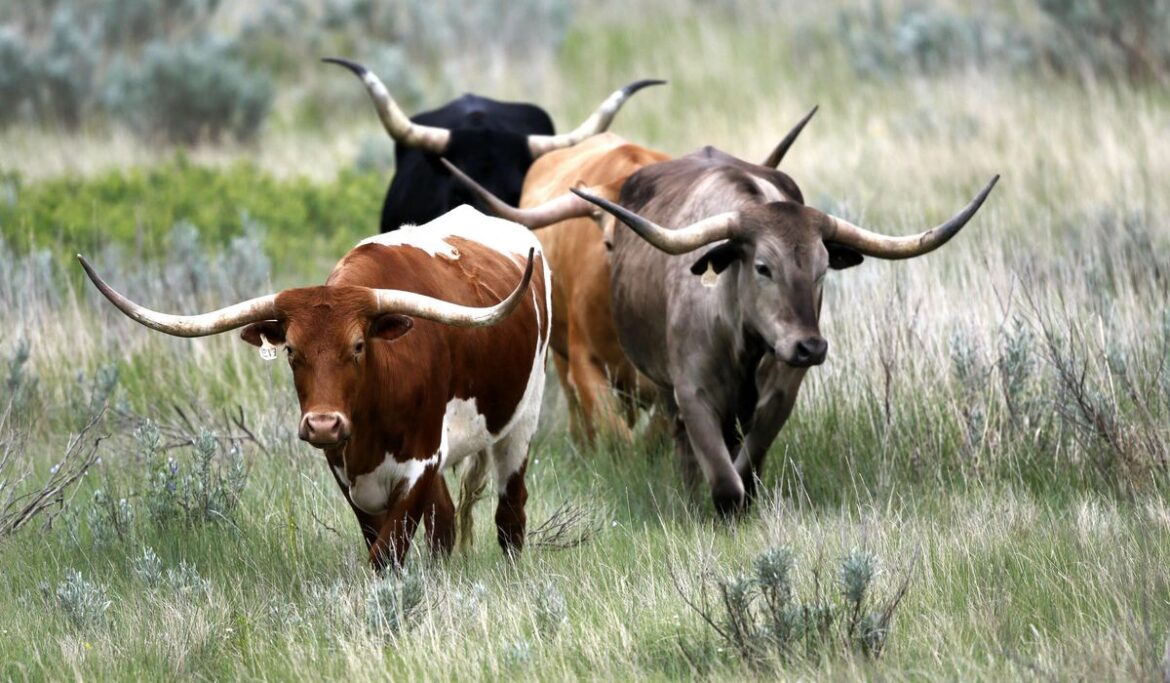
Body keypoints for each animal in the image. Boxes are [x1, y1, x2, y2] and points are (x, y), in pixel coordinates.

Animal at [78, 205, 552, 570]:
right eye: (290, 350)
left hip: (522, 422)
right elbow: (384, 547)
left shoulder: (420, 463)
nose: (324, 425)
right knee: (447, 521)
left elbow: (387, 553)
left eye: (358, 346)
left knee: (510, 513)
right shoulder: (348, 473)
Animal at [563, 149, 997, 515]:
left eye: (822, 270)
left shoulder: (781, 394)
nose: (810, 347)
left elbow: (747, 464)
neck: (742, 340)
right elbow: (724, 481)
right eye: (763, 267)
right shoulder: (691, 392)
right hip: (663, 385)